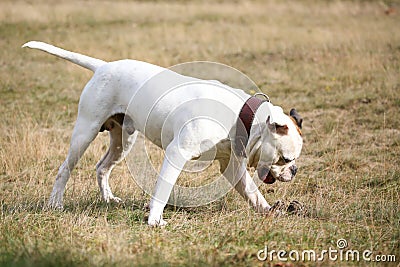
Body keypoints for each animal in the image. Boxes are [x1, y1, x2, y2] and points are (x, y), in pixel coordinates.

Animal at [22, 41, 304, 226]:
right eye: (286, 159)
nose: (294, 170)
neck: (240, 116)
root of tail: (104, 66)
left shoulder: (232, 167)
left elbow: (253, 193)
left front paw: (269, 210)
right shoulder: (176, 154)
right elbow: (163, 189)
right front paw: (155, 219)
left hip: (123, 141)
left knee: (102, 167)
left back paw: (109, 199)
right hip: (85, 132)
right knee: (64, 169)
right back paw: (55, 204)